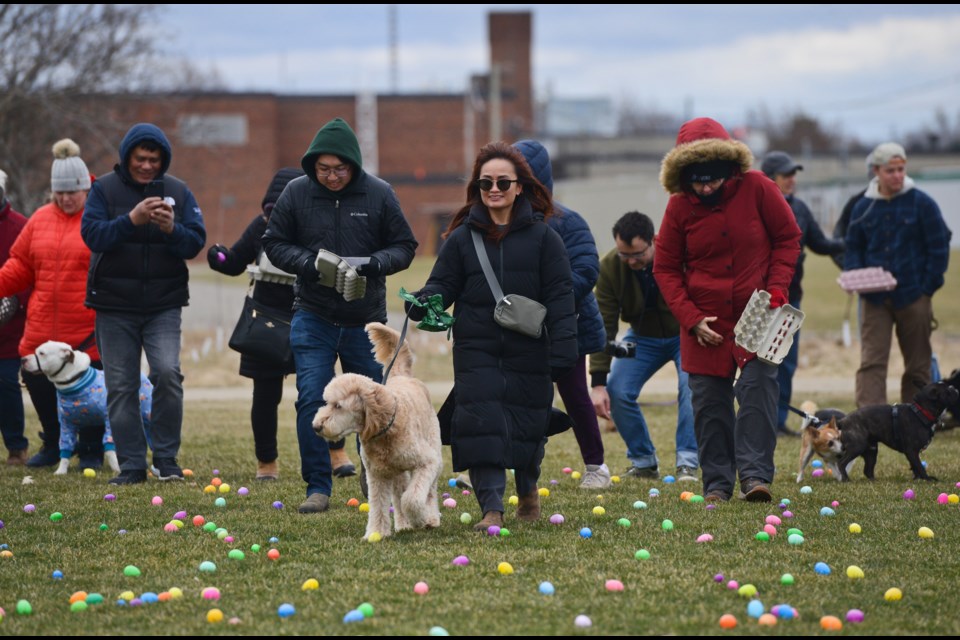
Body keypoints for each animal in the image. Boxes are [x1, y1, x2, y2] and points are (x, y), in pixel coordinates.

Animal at [314, 322, 444, 536]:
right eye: (327, 402)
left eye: (338, 405)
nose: (316, 426)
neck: (386, 429)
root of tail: (402, 375)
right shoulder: (376, 475)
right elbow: (378, 505)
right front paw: (376, 533)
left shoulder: (427, 462)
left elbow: (412, 499)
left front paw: (419, 519)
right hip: (397, 471)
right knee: (399, 494)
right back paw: (403, 524)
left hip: (433, 449)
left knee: (428, 493)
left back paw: (430, 518)